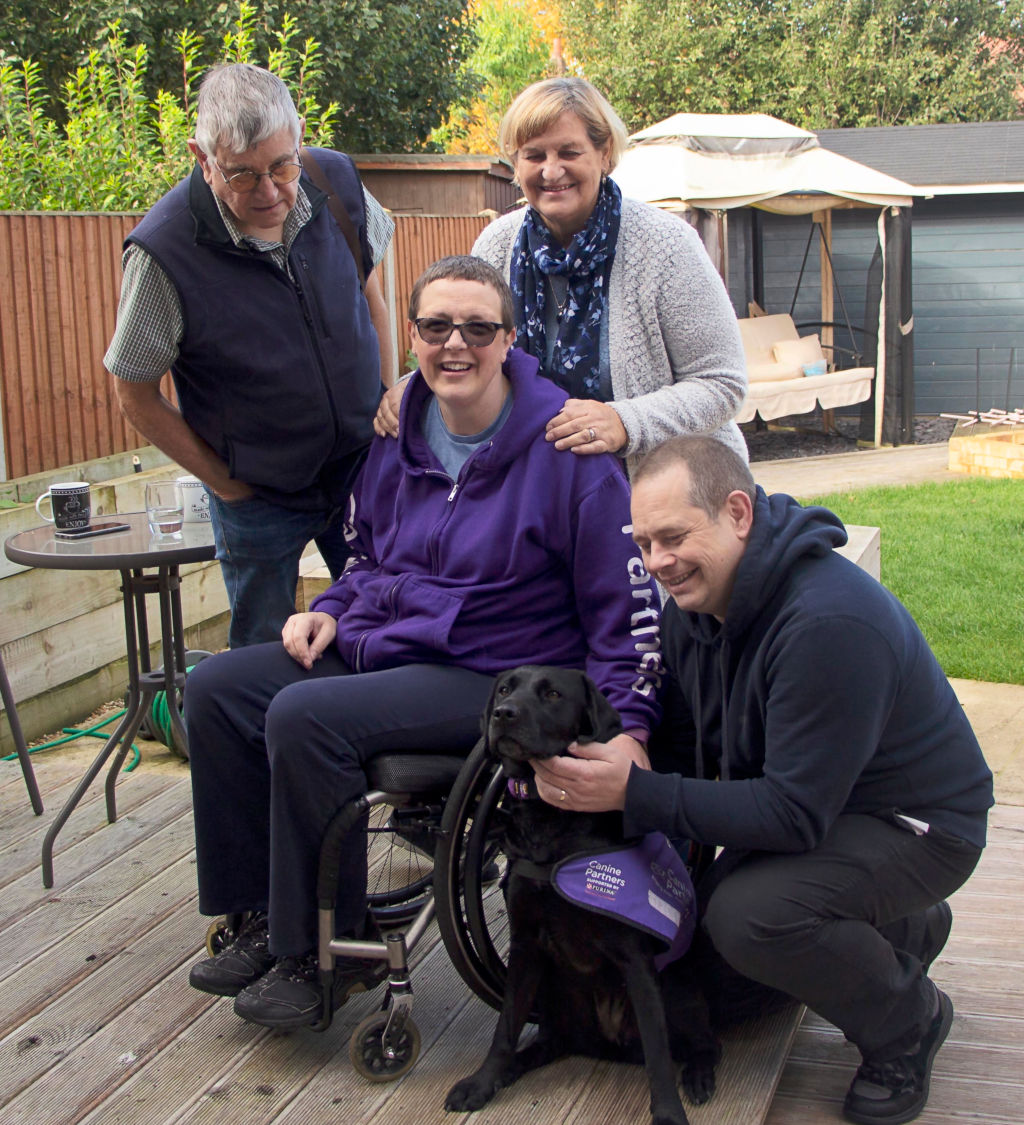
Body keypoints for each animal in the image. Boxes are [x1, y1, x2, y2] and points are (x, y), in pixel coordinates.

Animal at [445, 666, 715, 1125]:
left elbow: (658, 1052)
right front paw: (482, 1083)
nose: (503, 713)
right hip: (552, 987)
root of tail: (606, 1045)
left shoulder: (635, 960)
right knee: (551, 1041)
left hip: (676, 986)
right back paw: (515, 1067)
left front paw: (667, 1114)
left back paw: (699, 1074)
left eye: (553, 694)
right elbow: (505, 1027)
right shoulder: (525, 945)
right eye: (504, 689)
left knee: (702, 1042)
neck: (550, 822)